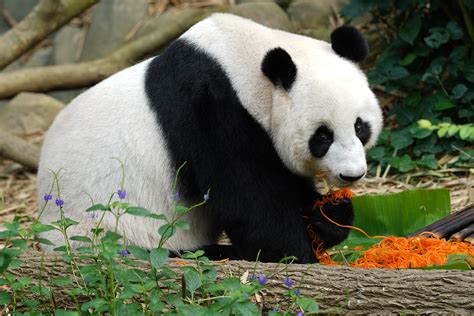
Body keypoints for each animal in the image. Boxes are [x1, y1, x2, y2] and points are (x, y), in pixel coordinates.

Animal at [39, 13, 384, 262]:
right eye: (323, 136)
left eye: (360, 127)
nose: (352, 175)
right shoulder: (210, 110)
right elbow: (250, 195)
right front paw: (294, 255)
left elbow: (285, 182)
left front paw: (329, 216)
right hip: (113, 232)